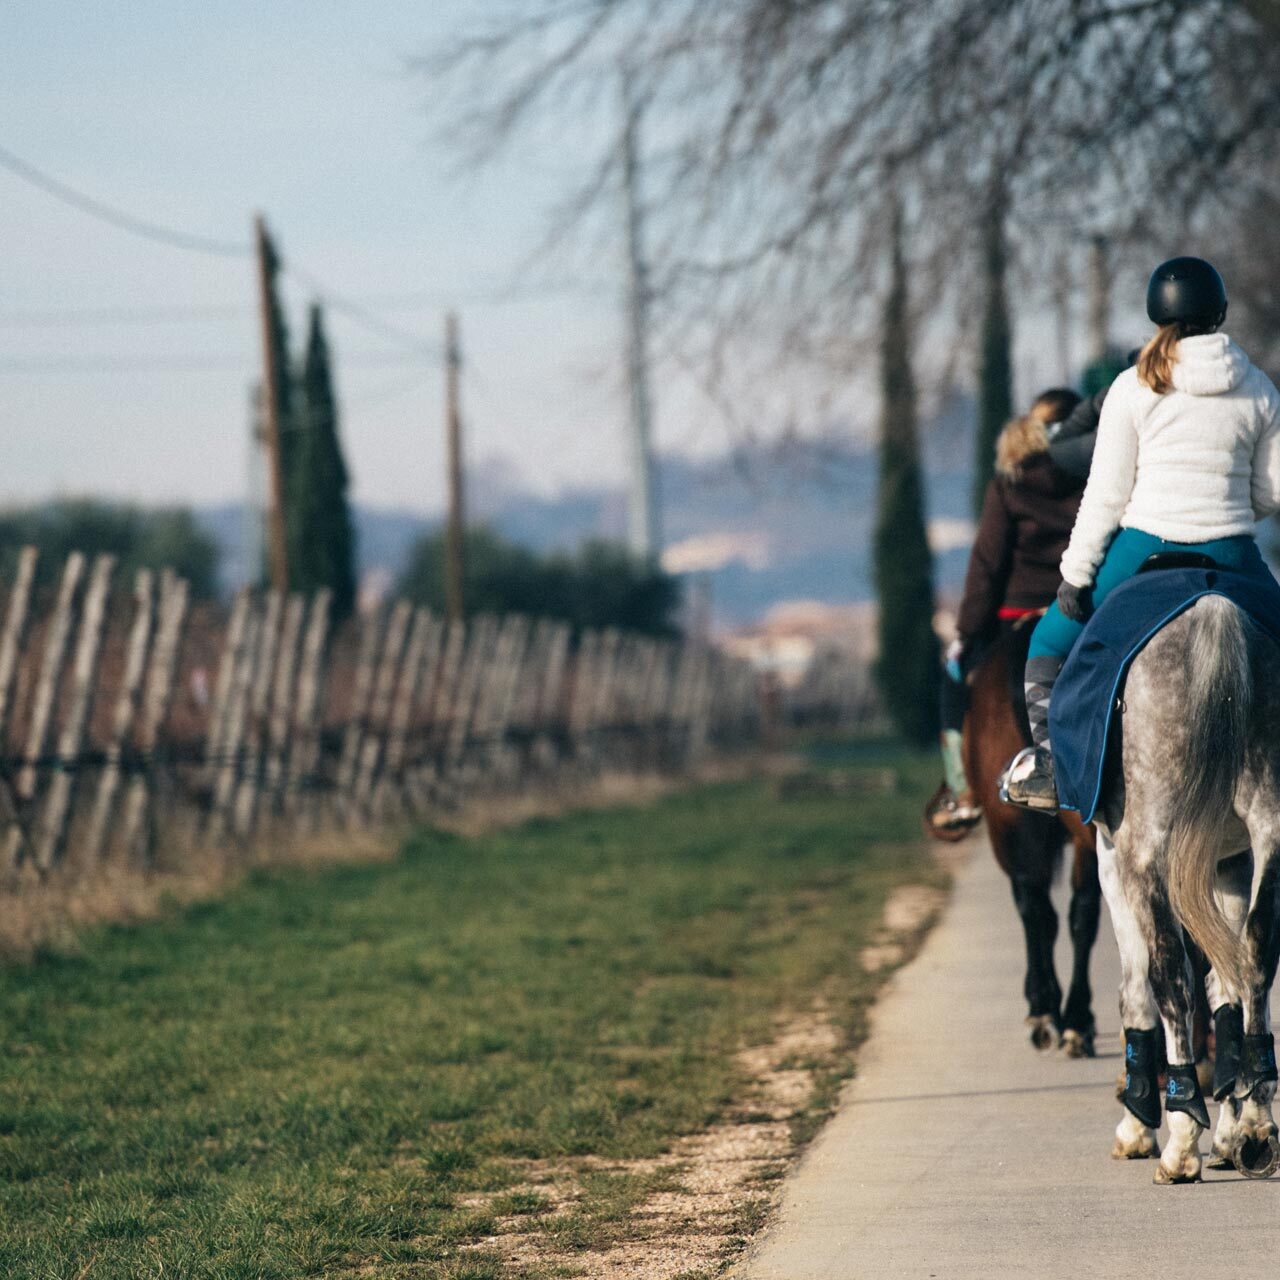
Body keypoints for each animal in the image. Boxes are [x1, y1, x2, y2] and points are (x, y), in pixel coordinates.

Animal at [1100, 593, 1280, 1182]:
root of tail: (1214, 612)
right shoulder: (1229, 862)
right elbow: (1228, 988)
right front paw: (1233, 1130)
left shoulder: (1113, 855)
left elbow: (1136, 987)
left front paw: (1139, 1128)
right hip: (1269, 825)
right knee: (1256, 953)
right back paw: (1257, 1124)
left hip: (1146, 847)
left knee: (1169, 976)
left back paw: (1179, 1141)